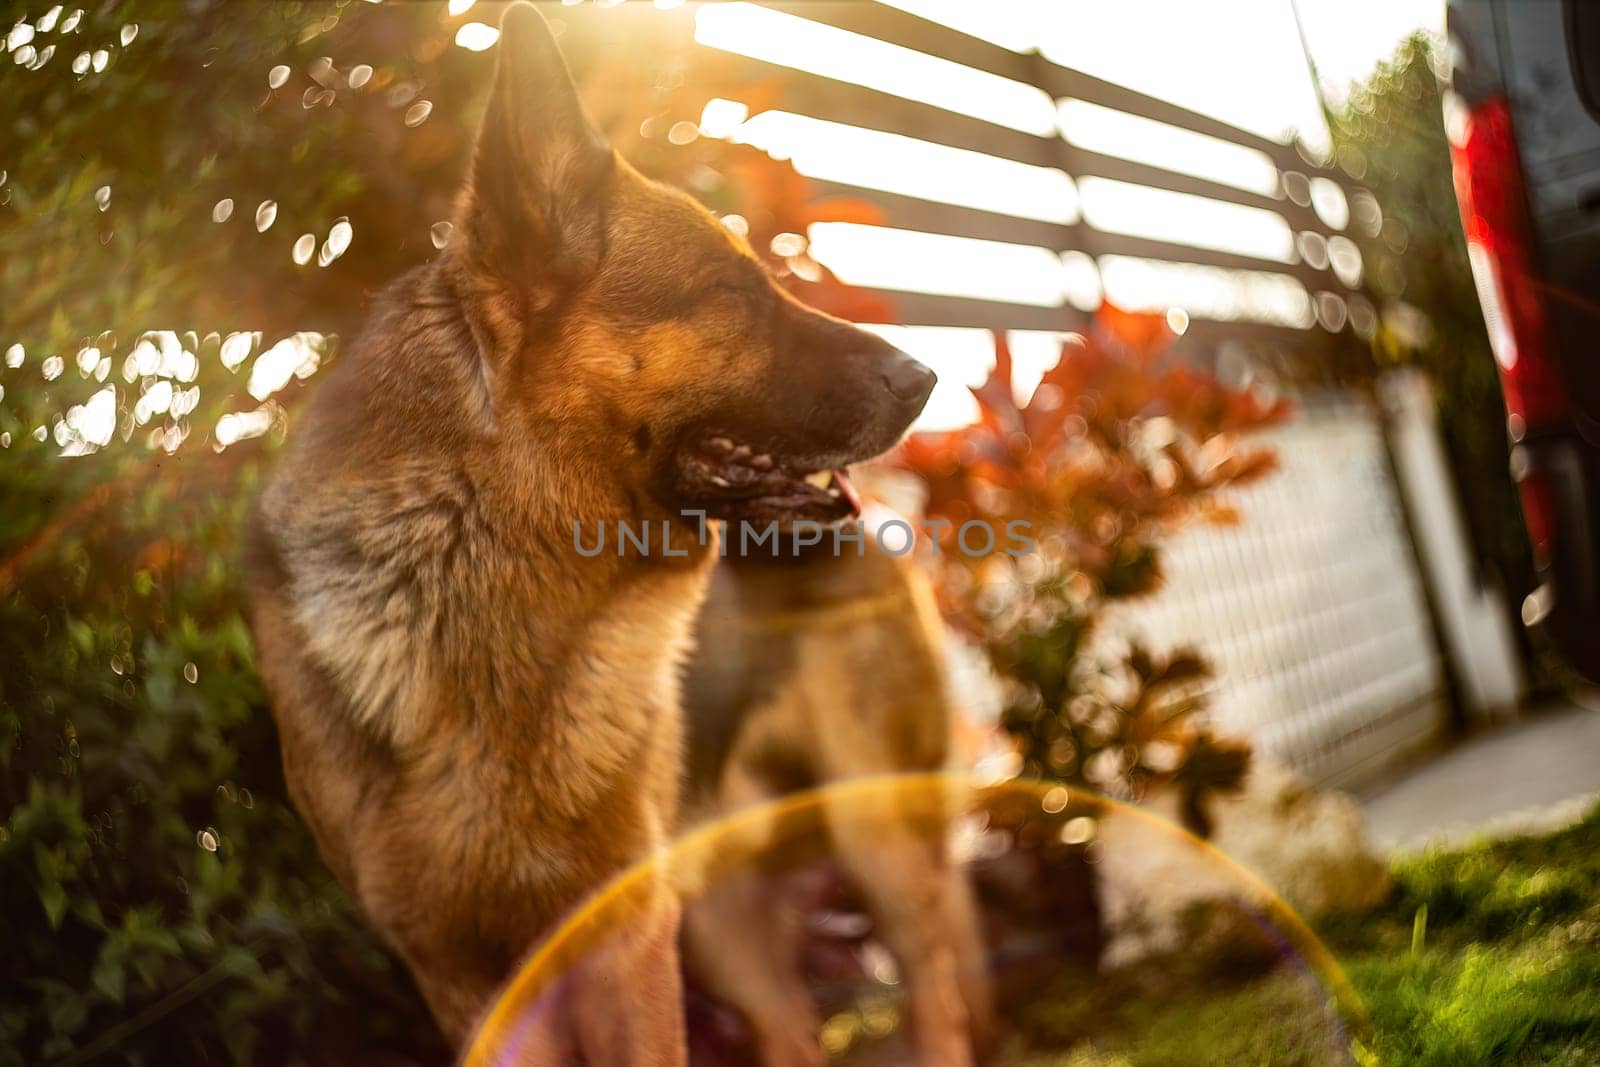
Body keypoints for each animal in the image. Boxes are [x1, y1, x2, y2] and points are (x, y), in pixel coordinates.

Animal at [243, 6, 934, 1062]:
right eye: (734, 293)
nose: (927, 376)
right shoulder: (466, 978)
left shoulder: (625, 940)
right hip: (723, 919)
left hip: (878, 837)